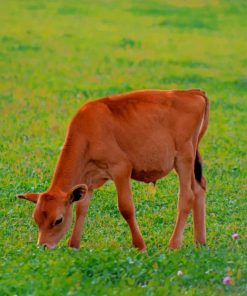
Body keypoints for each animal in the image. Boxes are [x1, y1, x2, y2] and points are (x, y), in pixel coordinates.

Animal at [18, 89, 209, 250]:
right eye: (36, 219)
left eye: (58, 220)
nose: (43, 246)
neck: (88, 131)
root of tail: (192, 92)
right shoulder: (88, 180)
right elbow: (81, 208)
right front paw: (73, 244)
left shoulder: (121, 169)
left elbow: (126, 208)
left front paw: (140, 246)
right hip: (192, 159)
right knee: (199, 189)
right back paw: (200, 242)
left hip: (184, 157)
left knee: (187, 196)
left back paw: (174, 245)